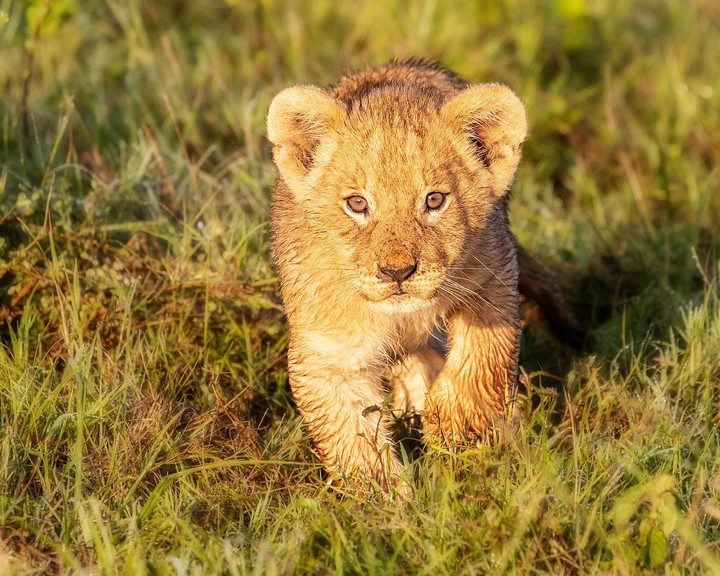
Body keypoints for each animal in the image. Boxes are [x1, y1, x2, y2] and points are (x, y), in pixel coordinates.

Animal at [267, 59, 580, 492]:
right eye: (357, 203)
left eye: (434, 200)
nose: (397, 271)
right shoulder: (328, 349)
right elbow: (351, 432)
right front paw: (384, 497)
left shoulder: (493, 279)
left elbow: (480, 362)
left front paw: (455, 432)